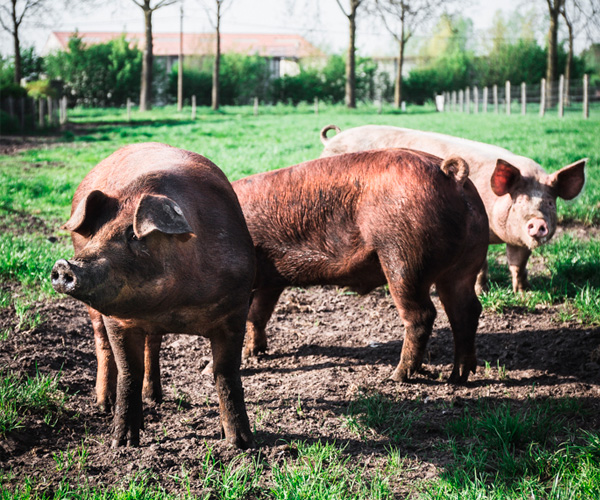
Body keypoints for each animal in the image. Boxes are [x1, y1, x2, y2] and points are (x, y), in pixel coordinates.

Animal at [51, 142, 255, 450]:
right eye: (96, 233)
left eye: (134, 236)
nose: (64, 266)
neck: (178, 303)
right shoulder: (117, 319)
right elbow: (128, 373)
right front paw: (122, 444)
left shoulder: (237, 309)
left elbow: (227, 374)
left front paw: (242, 444)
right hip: (97, 314)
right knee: (102, 344)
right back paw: (103, 404)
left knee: (153, 343)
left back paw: (155, 397)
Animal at [232, 148, 490, 382]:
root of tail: (452, 176)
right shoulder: (271, 282)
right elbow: (257, 315)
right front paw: (252, 353)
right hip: (465, 263)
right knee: (466, 310)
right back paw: (457, 377)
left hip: (402, 258)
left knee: (422, 314)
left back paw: (397, 377)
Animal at [318, 124, 584, 292]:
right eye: (519, 200)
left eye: (549, 202)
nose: (537, 222)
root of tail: (332, 139)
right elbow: (481, 265)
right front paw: (482, 291)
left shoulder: (517, 239)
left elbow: (518, 263)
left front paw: (524, 291)